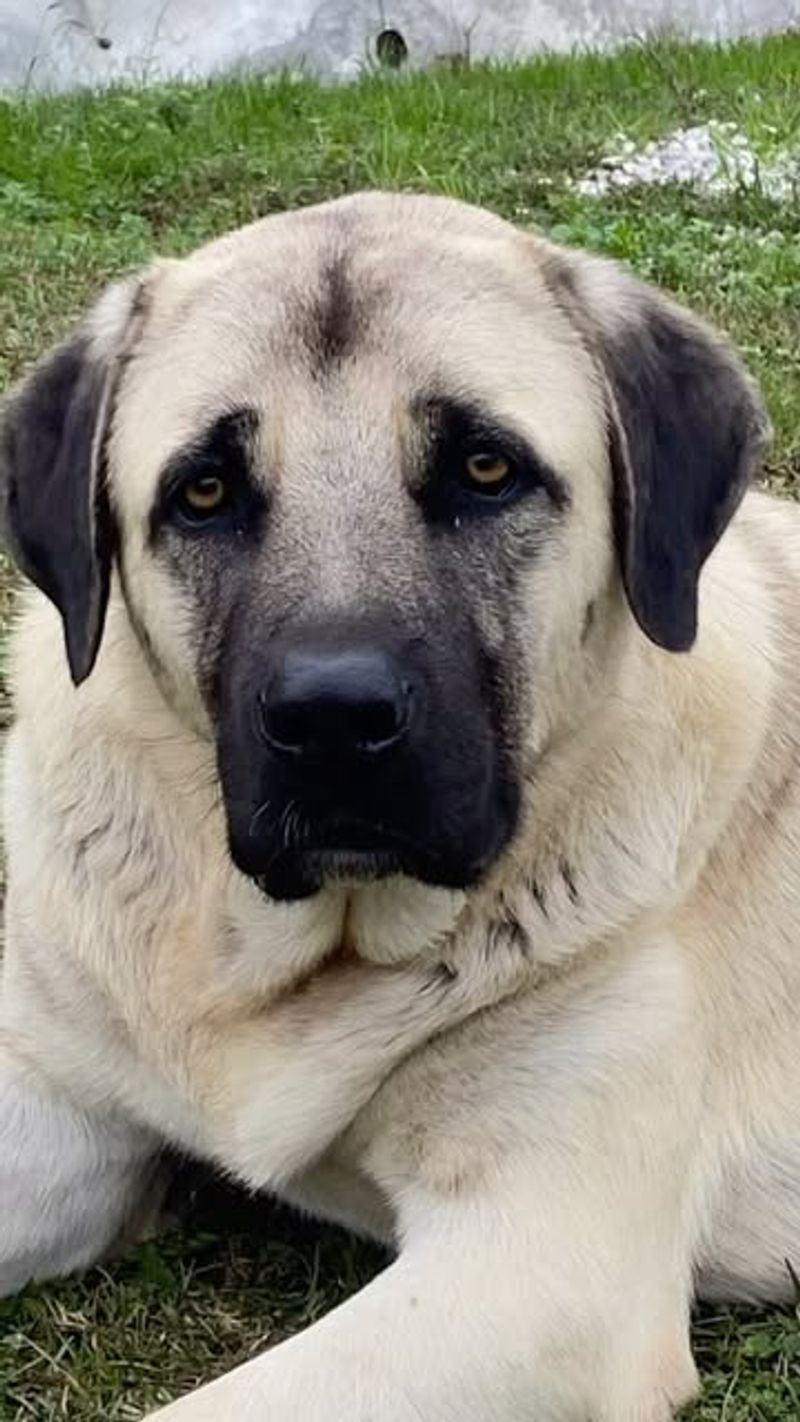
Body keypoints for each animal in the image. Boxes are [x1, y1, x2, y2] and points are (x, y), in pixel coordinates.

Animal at [1, 191, 800, 1422]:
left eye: (485, 469)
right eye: (203, 492)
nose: (333, 718)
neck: (286, 971)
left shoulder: (540, 1268)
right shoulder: (53, 1111)